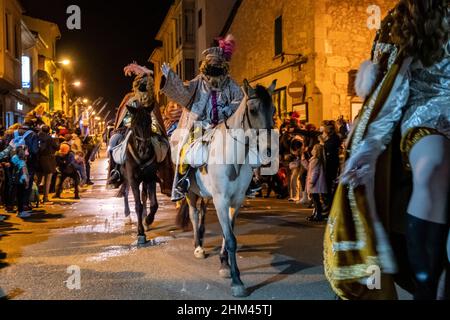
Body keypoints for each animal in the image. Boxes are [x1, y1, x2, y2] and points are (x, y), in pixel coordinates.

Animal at [177, 79, 278, 298]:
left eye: (274, 109)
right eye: (252, 109)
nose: (269, 151)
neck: (233, 158)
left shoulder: (236, 201)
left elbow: (228, 234)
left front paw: (224, 265)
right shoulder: (221, 200)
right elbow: (230, 238)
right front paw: (237, 281)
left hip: (206, 195)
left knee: (202, 213)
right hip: (190, 193)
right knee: (194, 215)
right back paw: (198, 246)